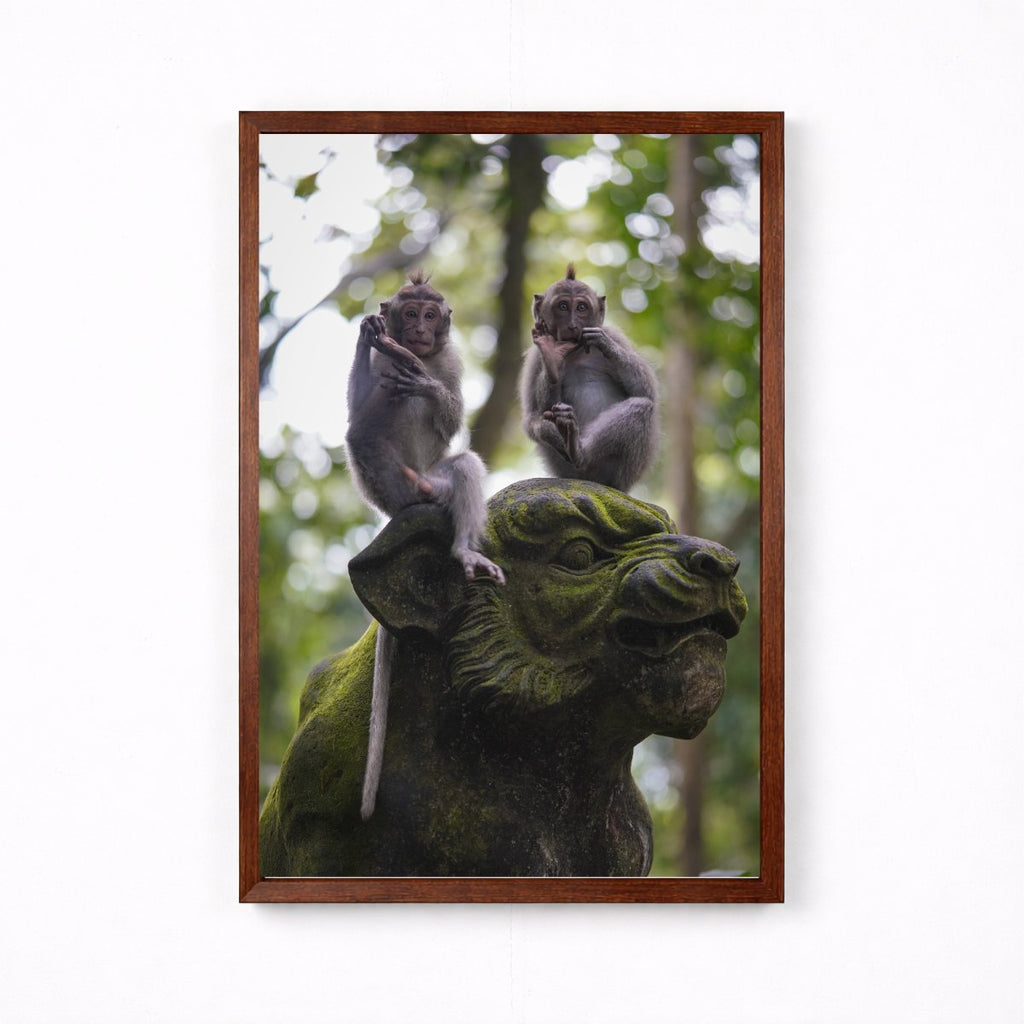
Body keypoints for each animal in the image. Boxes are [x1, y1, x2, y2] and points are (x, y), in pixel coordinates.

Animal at [344, 272, 505, 820]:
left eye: (430, 315)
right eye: (409, 312)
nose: (416, 330)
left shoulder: (452, 361)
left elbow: (450, 415)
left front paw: (423, 380)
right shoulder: (380, 368)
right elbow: (357, 404)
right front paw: (367, 335)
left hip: (439, 483)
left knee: (464, 466)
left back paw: (460, 547)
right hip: (384, 489)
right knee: (360, 433)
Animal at [519, 264, 659, 493]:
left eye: (581, 307)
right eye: (563, 306)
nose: (572, 325)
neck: (575, 352)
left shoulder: (616, 336)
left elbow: (647, 392)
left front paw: (604, 343)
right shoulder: (533, 359)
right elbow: (534, 417)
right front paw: (552, 358)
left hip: (624, 473)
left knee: (642, 406)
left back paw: (580, 452)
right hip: (565, 470)